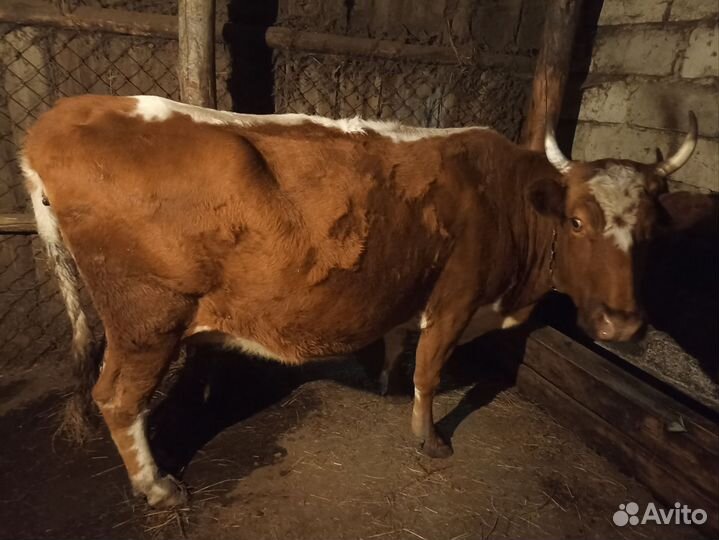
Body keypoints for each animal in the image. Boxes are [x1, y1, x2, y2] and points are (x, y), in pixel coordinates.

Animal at [21, 95, 698, 508]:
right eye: (578, 223)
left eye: (650, 230)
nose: (621, 324)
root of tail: (62, 117)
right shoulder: (457, 296)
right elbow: (430, 370)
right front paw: (429, 439)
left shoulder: (413, 288)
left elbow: (399, 343)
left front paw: (384, 383)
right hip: (147, 319)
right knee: (117, 399)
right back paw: (158, 486)